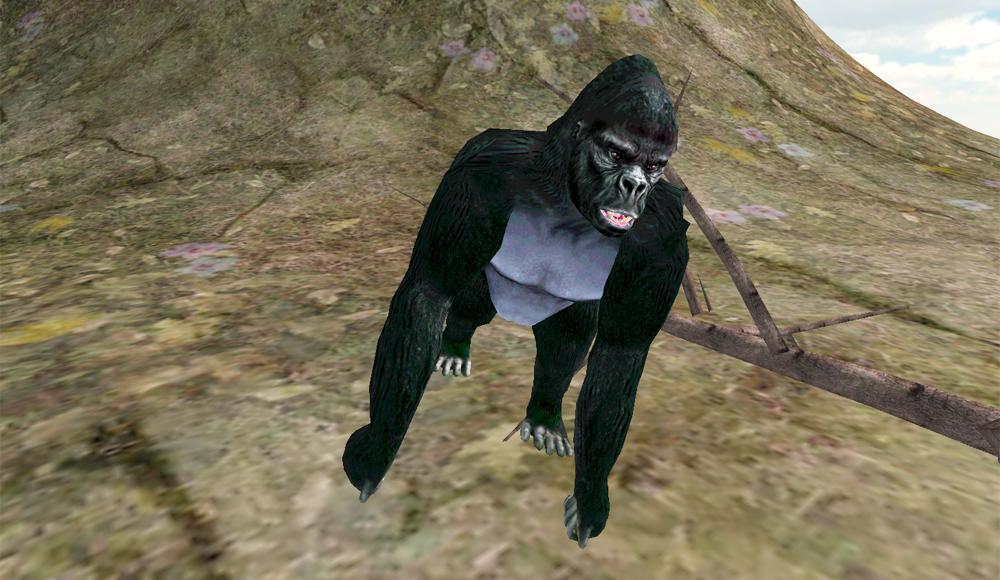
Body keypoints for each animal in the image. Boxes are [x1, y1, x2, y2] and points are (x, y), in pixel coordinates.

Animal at [343, 54, 690, 548]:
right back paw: (455, 345)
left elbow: (620, 354)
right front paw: (377, 449)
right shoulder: (479, 177)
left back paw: (545, 411)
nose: (634, 186)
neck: (565, 197)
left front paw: (590, 497)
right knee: (469, 306)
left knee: (569, 336)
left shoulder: (662, 240)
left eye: (656, 166)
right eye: (616, 154)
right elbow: (428, 292)